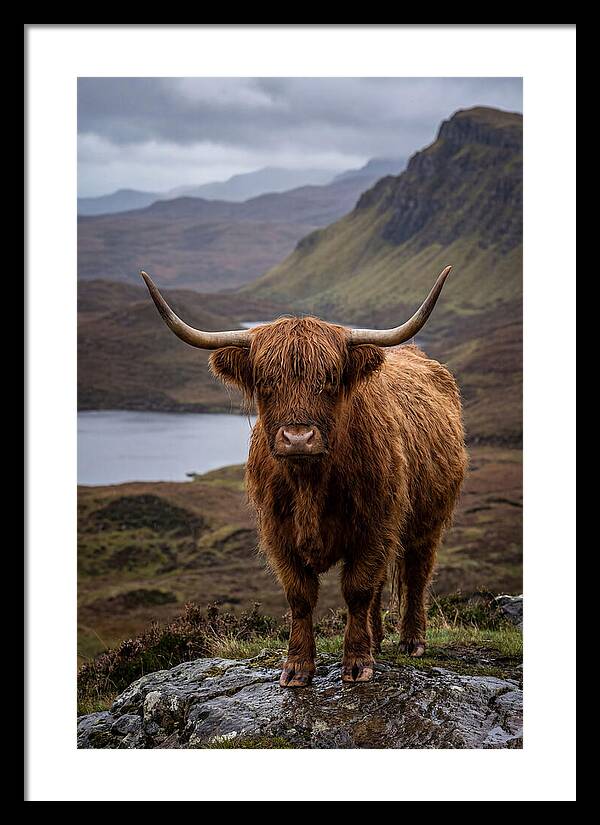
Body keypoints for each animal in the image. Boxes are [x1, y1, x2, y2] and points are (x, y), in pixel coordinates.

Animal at [140, 267, 467, 687]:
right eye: (265, 381)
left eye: (329, 379)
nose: (298, 438)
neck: (310, 483)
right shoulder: (278, 533)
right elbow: (301, 595)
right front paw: (297, 667)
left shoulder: (375, 525)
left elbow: (357, 588)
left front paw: (357, 663)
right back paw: (378, 640)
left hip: (428, 521)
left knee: (415, 573)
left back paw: (412, 641)